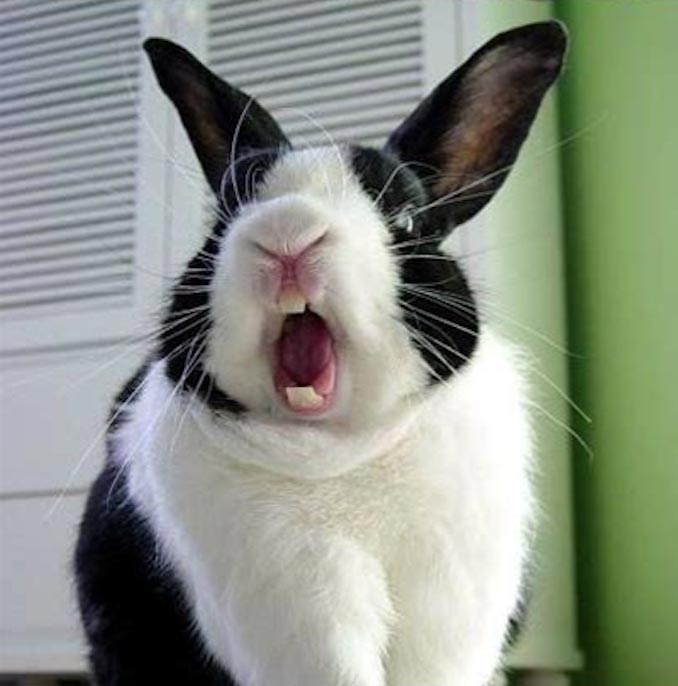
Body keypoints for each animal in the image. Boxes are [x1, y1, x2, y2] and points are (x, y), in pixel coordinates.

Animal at [74, 21, 567, 686]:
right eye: (226, 216)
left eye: (405, 217)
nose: (287, 231)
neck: (341, 448)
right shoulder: (301, 601)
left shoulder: (452, 605)